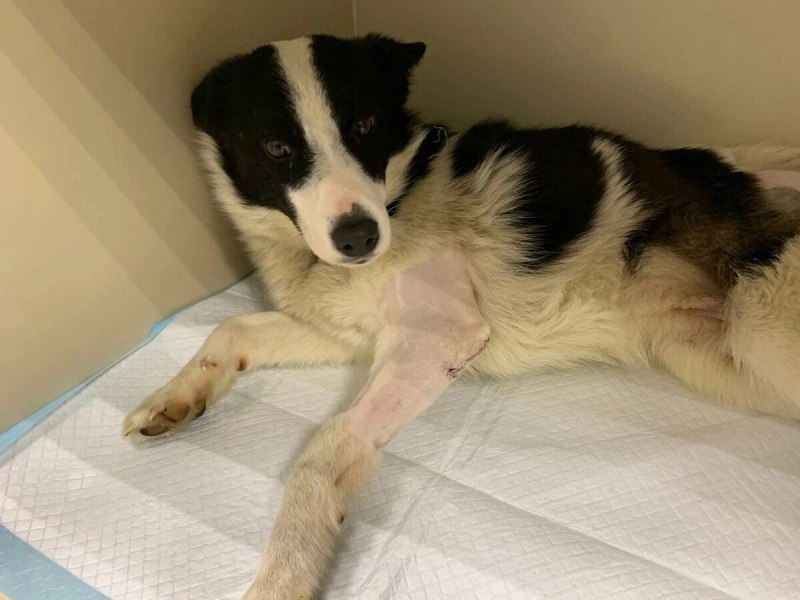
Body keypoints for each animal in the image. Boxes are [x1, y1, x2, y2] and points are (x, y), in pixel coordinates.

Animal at [123, 34, 800, 599]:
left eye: (365, 124)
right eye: (277, 146)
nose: (359, 238)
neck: (400, 197)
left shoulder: (440, 337)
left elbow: (327, 445)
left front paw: (287, 569)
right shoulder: (349, 333)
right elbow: (231, 328)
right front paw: (174, 398)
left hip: (762, 323)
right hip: (711, 354)